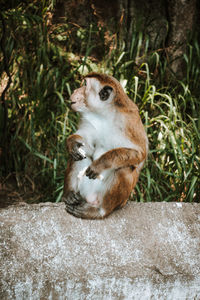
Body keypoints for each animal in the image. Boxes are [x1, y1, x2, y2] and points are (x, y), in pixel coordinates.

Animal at [62, 72, 148, 218]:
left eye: (85, 85)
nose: (74, 91)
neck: (105, 113)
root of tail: (91, 198)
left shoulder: (129, 122)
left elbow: (139, 153)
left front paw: (101, 163)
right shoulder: (88, 119)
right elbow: (87, 147)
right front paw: (72, 142)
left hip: (111, 198)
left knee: (124, 169)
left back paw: (99, 211)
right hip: (85, 188)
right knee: (77, 156)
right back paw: (70, 195)